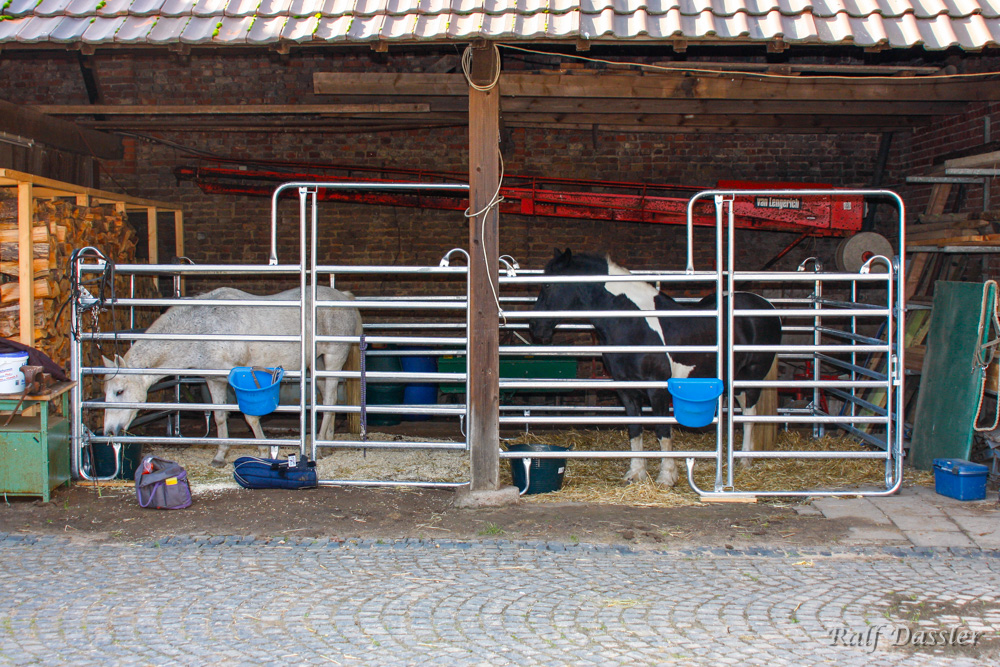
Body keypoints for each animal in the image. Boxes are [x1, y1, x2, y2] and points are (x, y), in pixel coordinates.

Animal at [100, 284, 360, 468]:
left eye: (119, 391)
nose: (109, 432)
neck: (203, 328)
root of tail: (343, 297)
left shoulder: (238, 379)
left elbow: (250, 417)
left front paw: (263, 450)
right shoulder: (214, 380)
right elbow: (219, 417)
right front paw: (220, 455)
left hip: (333, 359)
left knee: (330, 401)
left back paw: (321, 447)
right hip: (317, 364)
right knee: (326, 399)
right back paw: (328, 442)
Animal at [528, 249, 784, 486]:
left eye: (548, 285)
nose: (535, 328)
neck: (632, 322)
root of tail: (766, 306)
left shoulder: (658, 389)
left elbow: (662, 431)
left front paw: (667, 476)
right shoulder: (626, 389)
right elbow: (635, 430)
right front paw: (635, 473)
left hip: (751, 377)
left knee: (750, 414)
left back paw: (744, 461)